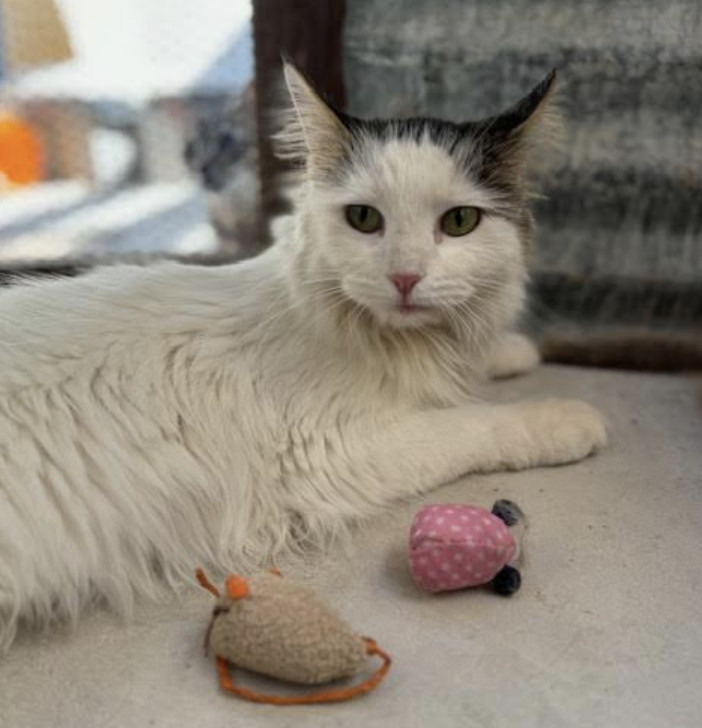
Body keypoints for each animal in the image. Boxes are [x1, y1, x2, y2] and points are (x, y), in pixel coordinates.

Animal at [0, 64, 608, 656]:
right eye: (363, 218)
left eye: (459, 222)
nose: (405, 277)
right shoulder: (330, 448)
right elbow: (473, 424)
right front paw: (564, 419)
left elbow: (469, 366)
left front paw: (510, 350)